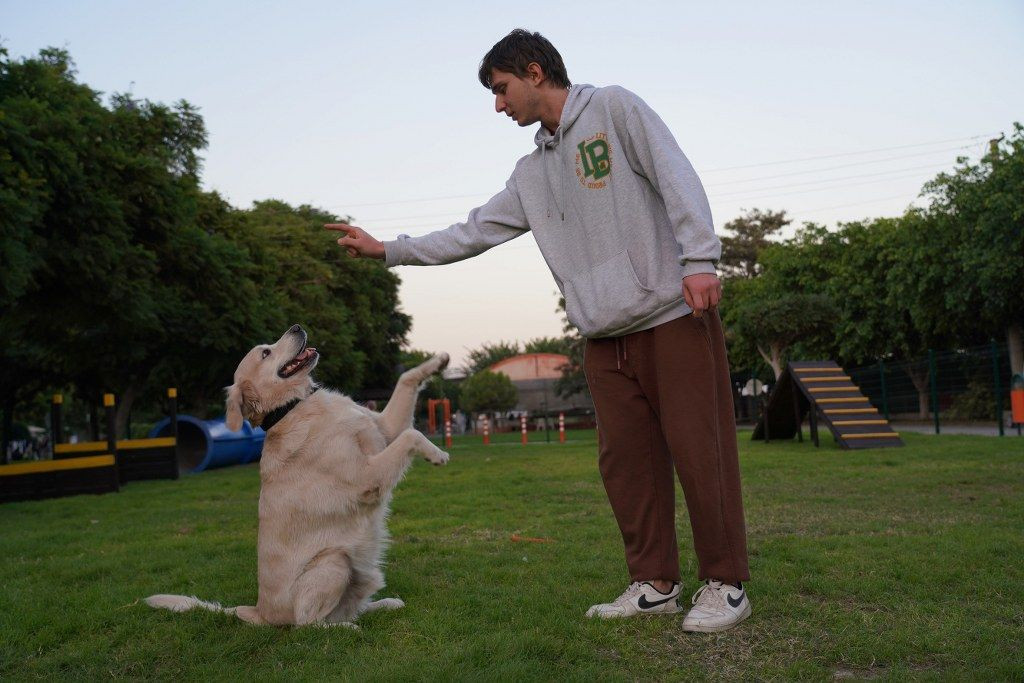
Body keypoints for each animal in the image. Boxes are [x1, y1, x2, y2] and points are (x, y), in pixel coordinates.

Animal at [146, 323, 450, 626]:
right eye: (265, 353)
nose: (297, 327)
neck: (294, 405)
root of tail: (259, 611)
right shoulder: (367, 477)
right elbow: (412, 435)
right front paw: (437, 454)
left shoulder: (385, 428)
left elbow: (405, 379)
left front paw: (439, 362)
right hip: (334, 560)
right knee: (308, 624)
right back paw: (348, 628)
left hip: (360, 574)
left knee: (346, 610)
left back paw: (384, 604)